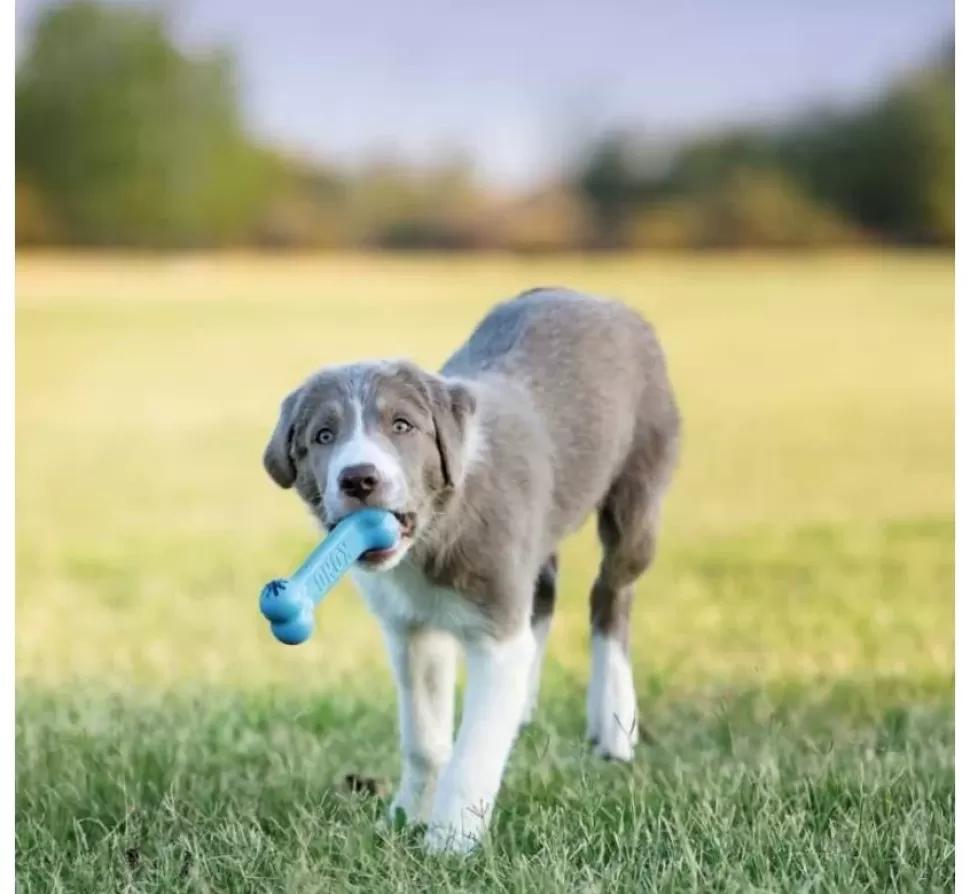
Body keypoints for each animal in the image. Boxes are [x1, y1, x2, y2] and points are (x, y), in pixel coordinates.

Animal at [260, 288, 676, 856]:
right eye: (323, 435)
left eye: (402, 426)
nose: (359, 478)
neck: (432, 535)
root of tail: (600, 298)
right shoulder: (412, 629)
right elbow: (425, 737)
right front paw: (407, 816)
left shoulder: (495, 628)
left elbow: (475, 745)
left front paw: (451, 840)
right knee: (544, 594)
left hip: (639, 487)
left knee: (612, 592)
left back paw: (614, 724)